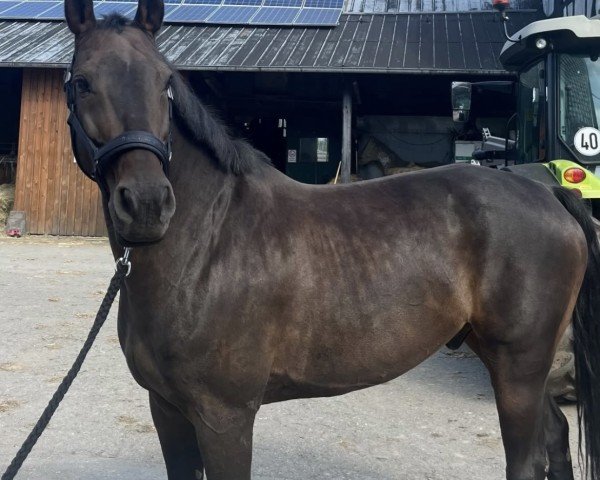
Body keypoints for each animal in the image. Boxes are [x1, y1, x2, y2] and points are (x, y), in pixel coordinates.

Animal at [64, 0, 600, 478]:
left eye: (166, 84)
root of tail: (547, 189)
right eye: (81, 83)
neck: (205, 247)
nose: (147, 204)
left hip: (519, 366)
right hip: (511, 361)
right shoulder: (166, 409)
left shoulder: (224, 418)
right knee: (556, 434)